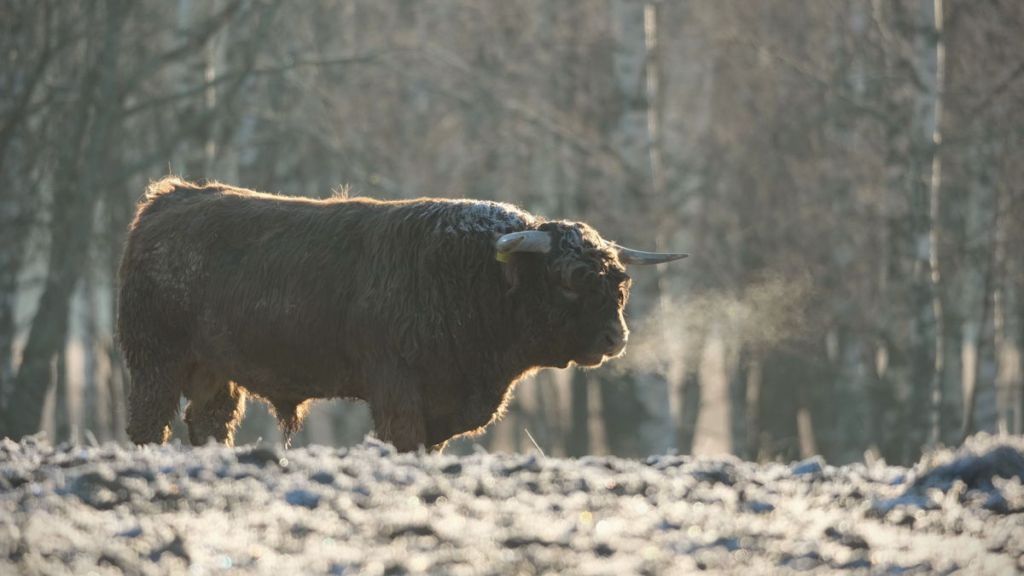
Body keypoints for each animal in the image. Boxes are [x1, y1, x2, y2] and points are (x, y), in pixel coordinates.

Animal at [117, 177, 686, 451]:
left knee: (208, 421)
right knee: (149, 422)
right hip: (154, 362)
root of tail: (168, 200)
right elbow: (403, 440)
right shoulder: (397, 391)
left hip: (217, 372)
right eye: (569, 281)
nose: (616, 338)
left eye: (619, 283)